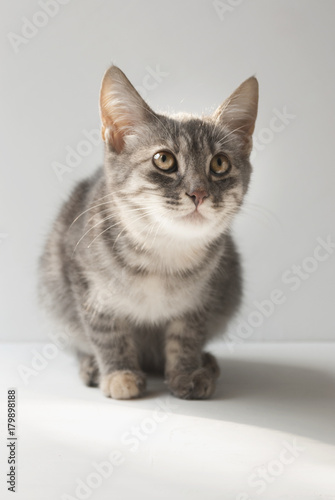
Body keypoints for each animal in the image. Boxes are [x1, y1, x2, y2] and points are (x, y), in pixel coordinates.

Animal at [39, 66, 260, 400]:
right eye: (164, 159)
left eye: (220, 163)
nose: (198, 193)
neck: (163, 250)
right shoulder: (86, 285)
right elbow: (107, 332)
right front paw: (119, 374)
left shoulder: (202, 297)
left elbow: (187, 336)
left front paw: (186, 372)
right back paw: (91, 366)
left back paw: (206, 363)